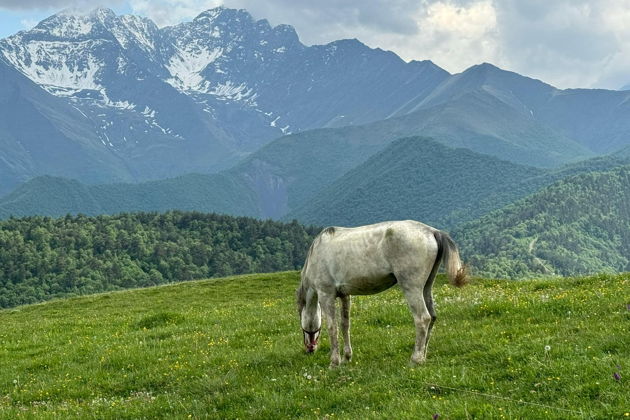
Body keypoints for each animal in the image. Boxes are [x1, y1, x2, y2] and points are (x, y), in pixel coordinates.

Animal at [294, 220, 466, 368]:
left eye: (302, 326)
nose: (309, 349)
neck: (317, 253)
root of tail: (432, 231)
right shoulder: (345, 296)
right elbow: (345, 325)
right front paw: (346, 357)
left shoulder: (326, 294)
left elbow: (332, 327)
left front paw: (334, 363)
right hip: (426, 287)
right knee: (432, 316)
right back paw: (423, 355)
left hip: (412, 288)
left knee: (423, 318)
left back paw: (415, 359)